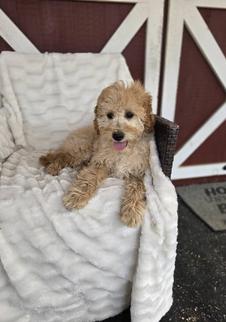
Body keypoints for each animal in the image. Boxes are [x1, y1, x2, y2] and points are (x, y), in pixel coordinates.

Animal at [39, 80, 154, 226]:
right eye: (109, 115)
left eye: (129, 114)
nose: (117, 135)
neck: (122, 151)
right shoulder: (100, 162)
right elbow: (89, 178)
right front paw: (77, 197)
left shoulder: (137, 172)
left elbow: (137, 188)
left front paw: (132, 211)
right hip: (81, 149)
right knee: (61, 155)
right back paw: (53, 167)